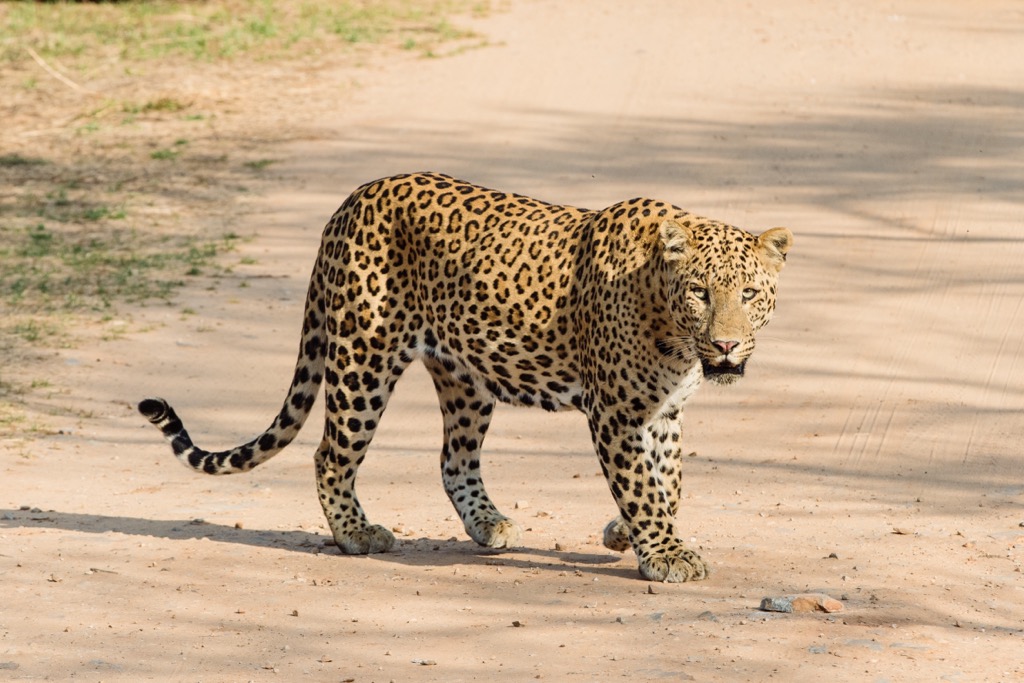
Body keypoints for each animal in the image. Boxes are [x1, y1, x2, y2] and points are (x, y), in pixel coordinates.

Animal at [139, 171, 793, 583]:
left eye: (750, 293)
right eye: (700, 292)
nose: (727, 343)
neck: (672, 329)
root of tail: (350, 201)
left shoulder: (662, 411)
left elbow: (668, 482)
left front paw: (625, 534)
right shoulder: (617, 412)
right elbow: (643, 488)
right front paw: (661, 552)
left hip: (465, 377)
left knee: (454, 459)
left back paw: (488, 523)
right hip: (363, 357)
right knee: (330, 454)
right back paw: (357, 533)